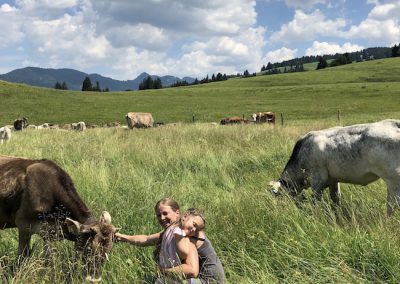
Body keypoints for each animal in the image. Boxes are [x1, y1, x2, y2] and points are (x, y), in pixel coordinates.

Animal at [268, 119, 400, 215]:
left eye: (280, 197)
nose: (282, 211)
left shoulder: (317, 180)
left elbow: (316, 201)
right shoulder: (333, 181)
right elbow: (336, 199)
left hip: (393, 180)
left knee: (393, 204)